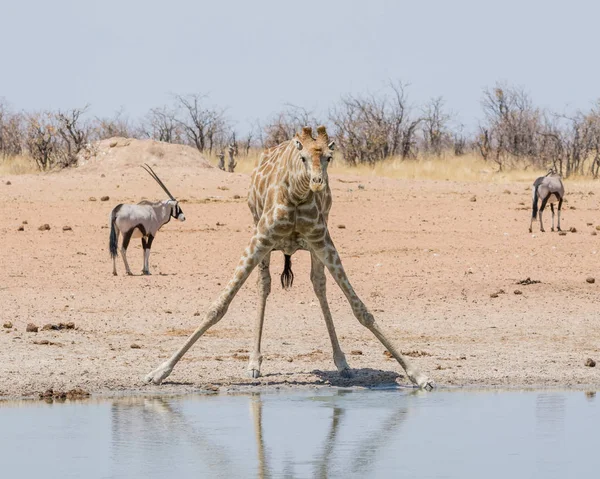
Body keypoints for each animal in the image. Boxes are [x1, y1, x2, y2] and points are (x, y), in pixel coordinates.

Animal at [146, 126, 436, 390]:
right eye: (303, 157)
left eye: (329, 156)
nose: (317, 182)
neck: (296, 195)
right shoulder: (259, 238)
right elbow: (218, 307)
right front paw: (159, 371)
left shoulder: (323, 241)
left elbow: (361, 310)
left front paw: (419, 375)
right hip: (259, 233)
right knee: (264, 284)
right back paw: (254, 363)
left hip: (315, 246)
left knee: (318, 284)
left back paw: (341, 362)